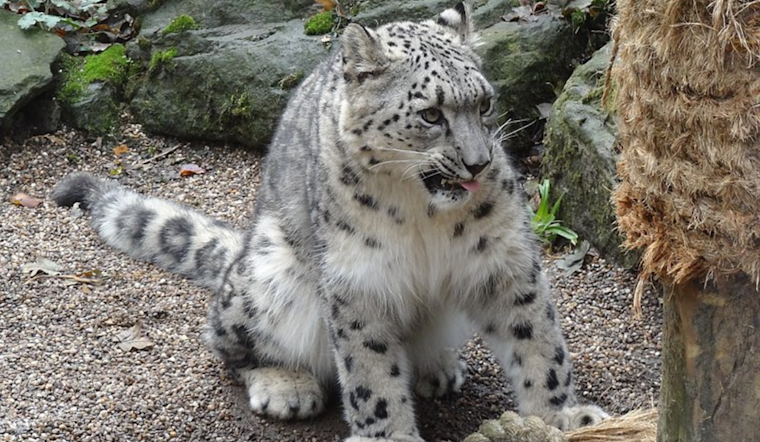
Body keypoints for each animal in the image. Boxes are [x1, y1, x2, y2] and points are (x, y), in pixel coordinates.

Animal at [51, 3, 608, 441]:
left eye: (485, 103)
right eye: (431, 114)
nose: (477, 163)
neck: (424, 213)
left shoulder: (504, 257)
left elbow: (537, 341)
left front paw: (562, 417)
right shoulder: (358, 278)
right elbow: (370, 371)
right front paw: (388, 434)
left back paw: (440, 368)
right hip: (265, 275)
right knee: (226, 343)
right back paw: (285, 386)